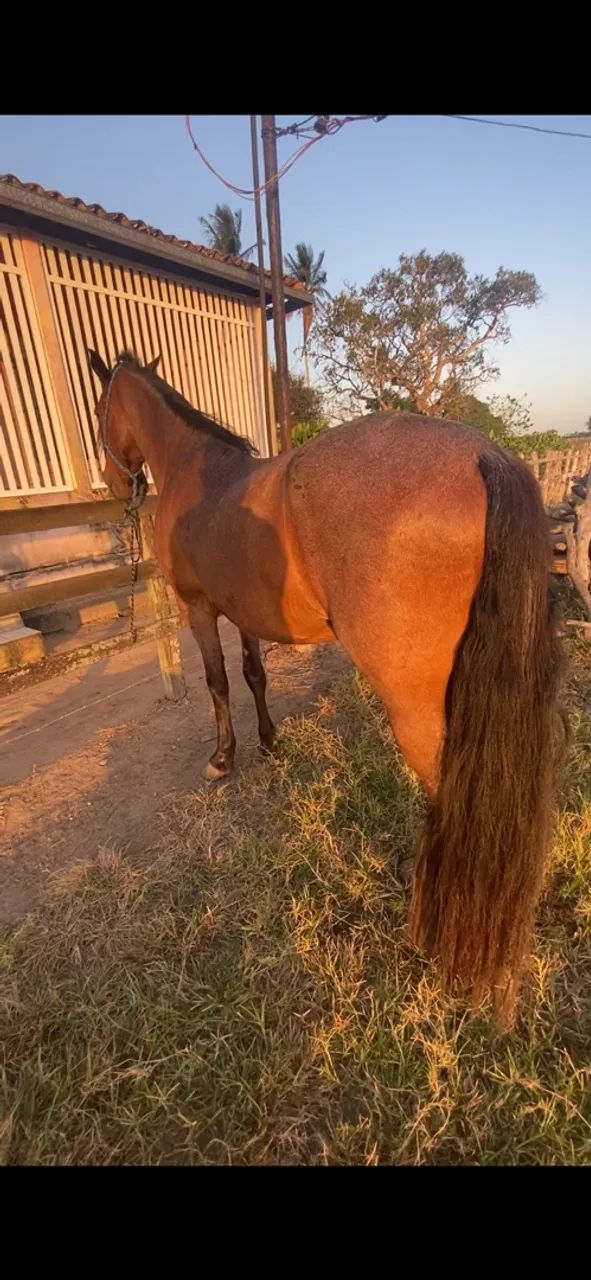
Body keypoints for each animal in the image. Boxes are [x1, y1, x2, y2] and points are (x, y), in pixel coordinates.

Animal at [88, 348, 563, 1022]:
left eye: (99, 408)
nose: (110, 483)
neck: (195, 473)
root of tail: (485, 454)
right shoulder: (246, 612)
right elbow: (254, 674)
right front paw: (269, 743)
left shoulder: (201, 609)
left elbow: (217, 683)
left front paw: (222, 758)